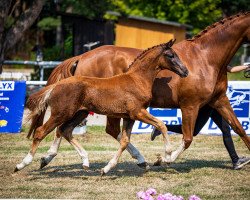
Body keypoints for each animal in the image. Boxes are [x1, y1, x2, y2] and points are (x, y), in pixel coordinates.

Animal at [15, 39, 188, 174]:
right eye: (171, 55)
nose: (185, 71)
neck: (136, 79)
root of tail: (57, 85)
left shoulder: (129, 117)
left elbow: (124, 141)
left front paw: (107, 168)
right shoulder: (138, 112)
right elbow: (161, 125)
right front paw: (167, 156)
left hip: (80, 113)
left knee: (65, 130)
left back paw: (85, 161)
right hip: (61, 113)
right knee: (41, 131)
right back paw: (22, 164)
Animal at [30, 11, 249, 170]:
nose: (185, 71)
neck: (206, 58)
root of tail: (81, 57)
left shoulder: (219, 100)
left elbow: (238, 129)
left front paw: (239, 160)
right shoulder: (190, 105)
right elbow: (187, 138)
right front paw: (165, 159)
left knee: (68, 129)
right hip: (92, 108)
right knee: (75, 128)